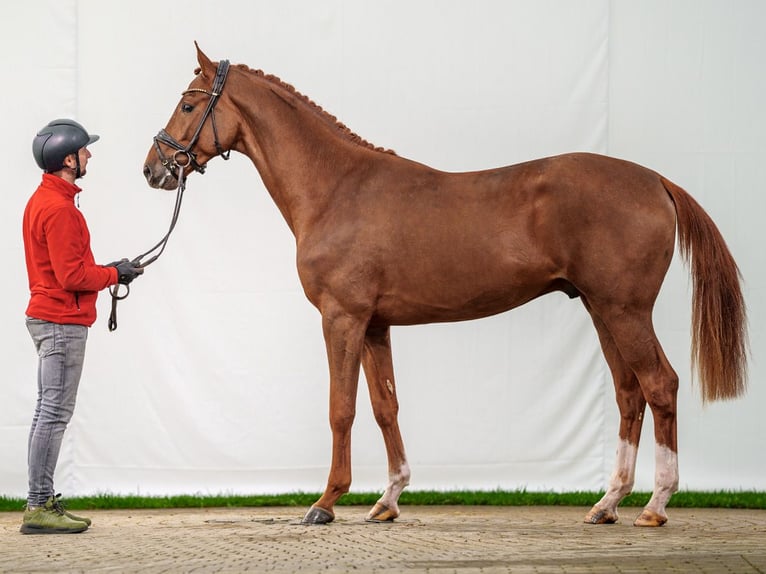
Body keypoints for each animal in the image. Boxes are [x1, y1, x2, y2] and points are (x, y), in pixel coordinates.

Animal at [141, 45, 748, 528]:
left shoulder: (341, 318)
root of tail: (655, 181)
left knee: (660, 385)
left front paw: (326, 503)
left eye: (189, 104)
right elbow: (385, 406)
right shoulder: (375, 325)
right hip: (603, 311)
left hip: (625, 310)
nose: (154, 168)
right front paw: (387, 501)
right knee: (629, 394)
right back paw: (607, 504)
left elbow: (342, 408)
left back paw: (656, 505)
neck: (336, 187)